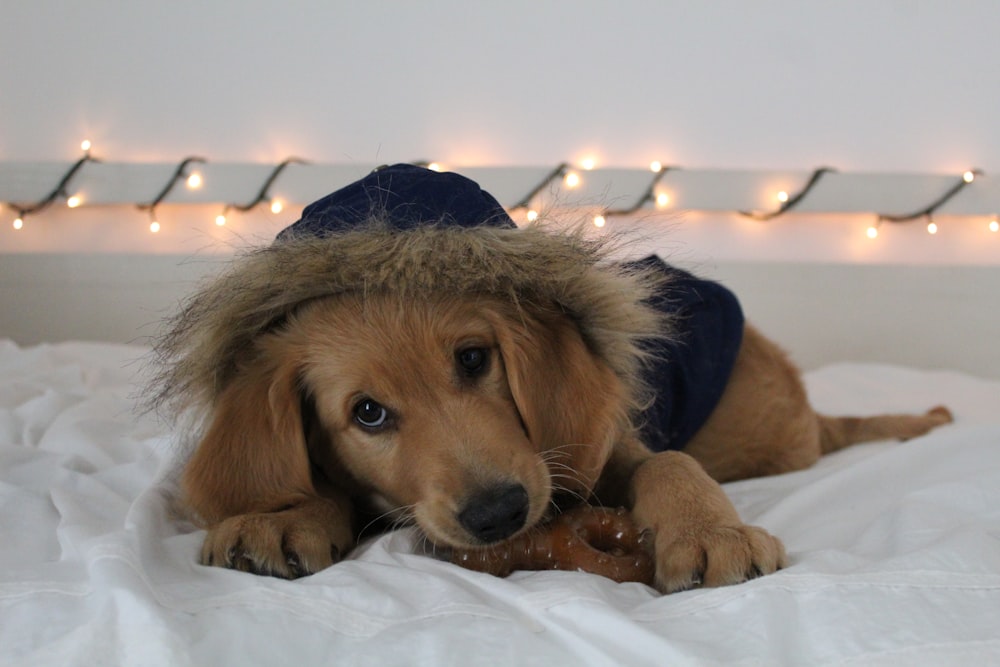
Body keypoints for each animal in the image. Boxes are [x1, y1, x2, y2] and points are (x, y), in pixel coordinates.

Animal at [152, 226, 948, 596]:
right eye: (368, 413)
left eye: (475, 358)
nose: (499, 513)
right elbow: (315, 488)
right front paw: (285, 514)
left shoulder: (606, 442)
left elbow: (668, 461)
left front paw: (708, 530)